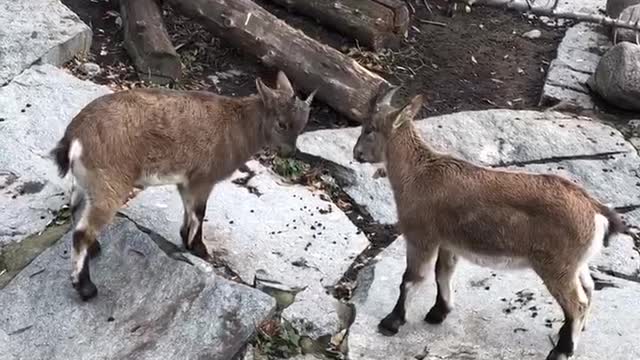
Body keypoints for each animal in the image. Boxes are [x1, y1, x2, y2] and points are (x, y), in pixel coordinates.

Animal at [50, 70, 316, 300]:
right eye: (281, 123)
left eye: (303, 125)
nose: (289, 152)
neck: (238, 128)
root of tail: (74, 138)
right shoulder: (203, 179)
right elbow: (199, 212)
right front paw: (199, 248)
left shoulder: (186, 180)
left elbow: (189, 209)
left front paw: (184, 238)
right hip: (110, 182)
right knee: (83, 232)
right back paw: (86, 288)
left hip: (87, 181)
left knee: (76, 209)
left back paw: (95, 249)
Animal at [350, 88, 624, 360]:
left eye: (370, 128)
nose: (357, 153)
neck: (419, 175)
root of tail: (594, 210)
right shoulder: (448, 241)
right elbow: (443, 273)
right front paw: (438, 313)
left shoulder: (421, 236)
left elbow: (411, 278)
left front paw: (391, 322)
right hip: (576, 263)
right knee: (588, 289)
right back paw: (571, 333)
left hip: (556, 266)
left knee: (576, 303)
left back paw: (561, 350)